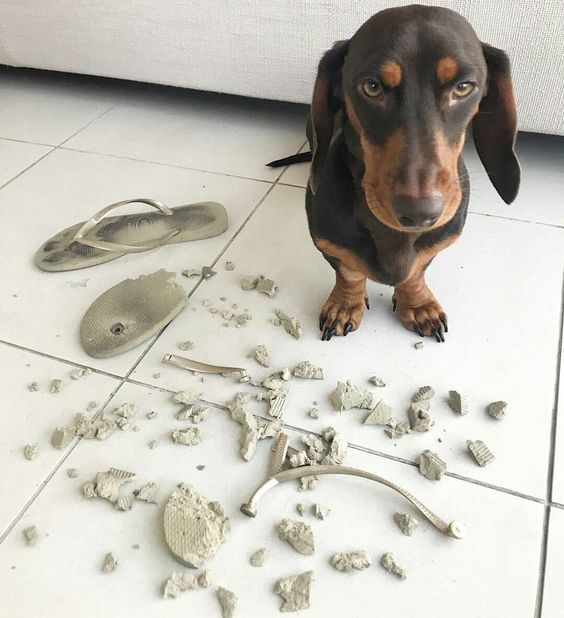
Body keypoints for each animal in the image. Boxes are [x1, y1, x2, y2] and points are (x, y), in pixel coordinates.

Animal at [268, 3, 520, 342]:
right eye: (372, 87)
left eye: (463, 87)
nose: (420, 213)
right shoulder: (329, 242)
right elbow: (349, 272)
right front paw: (345, 304)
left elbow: (416, 272)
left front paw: (418, 305)